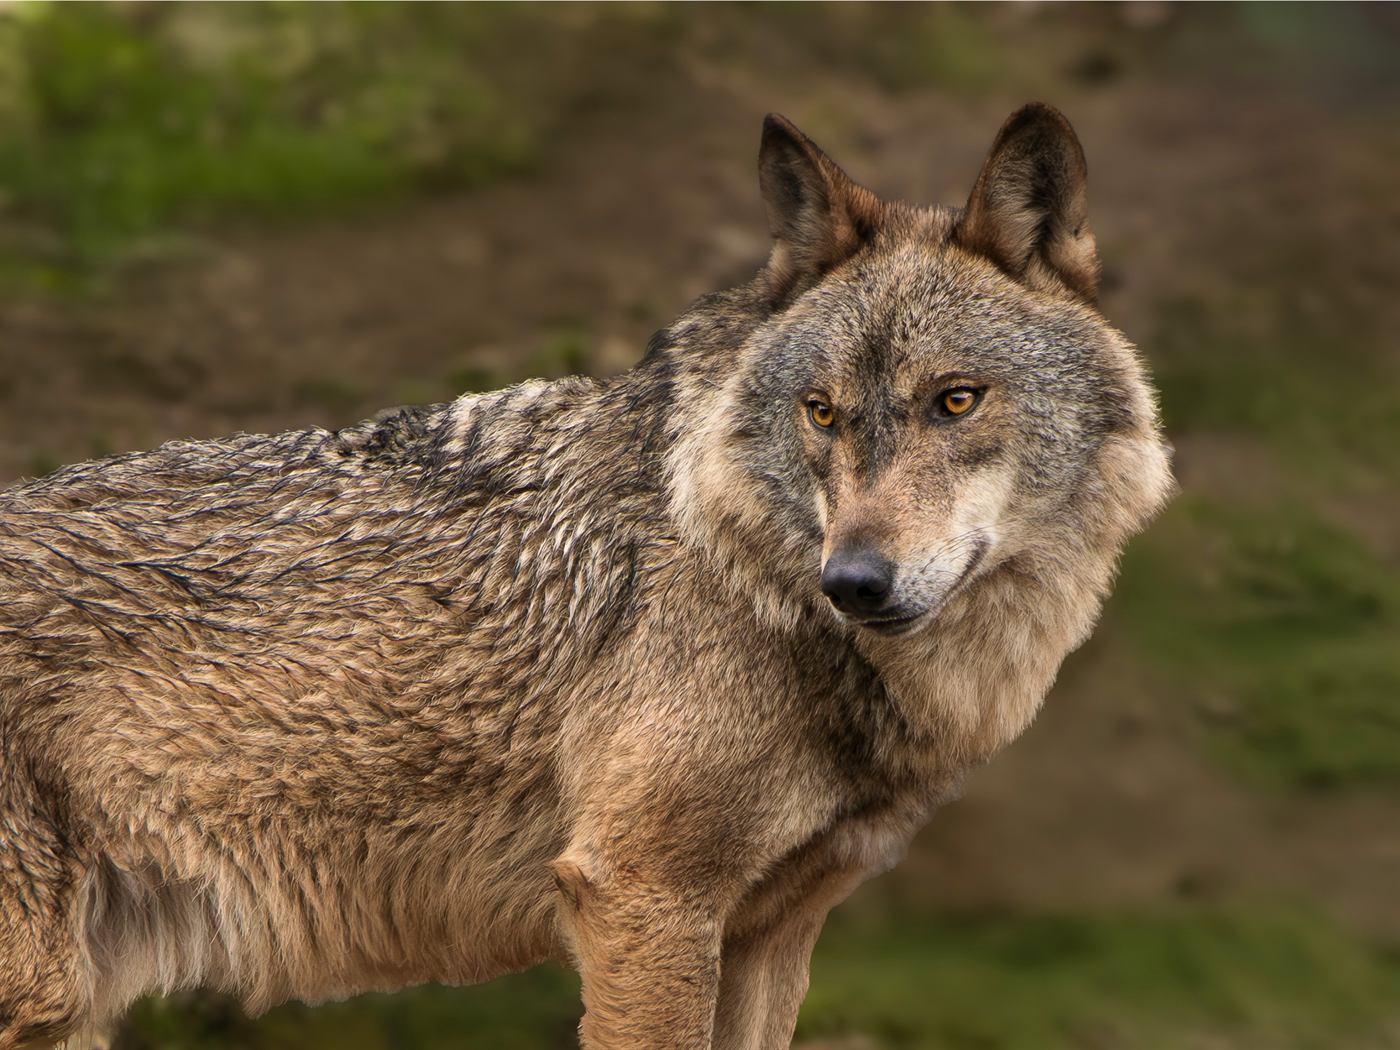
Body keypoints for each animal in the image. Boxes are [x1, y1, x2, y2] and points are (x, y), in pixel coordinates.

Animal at [0, 104, 1172, 1049]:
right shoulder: (641, 902)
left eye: (955, 400)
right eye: (823, 412)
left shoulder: (769, 935)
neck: (745, 568)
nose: (853, 581)